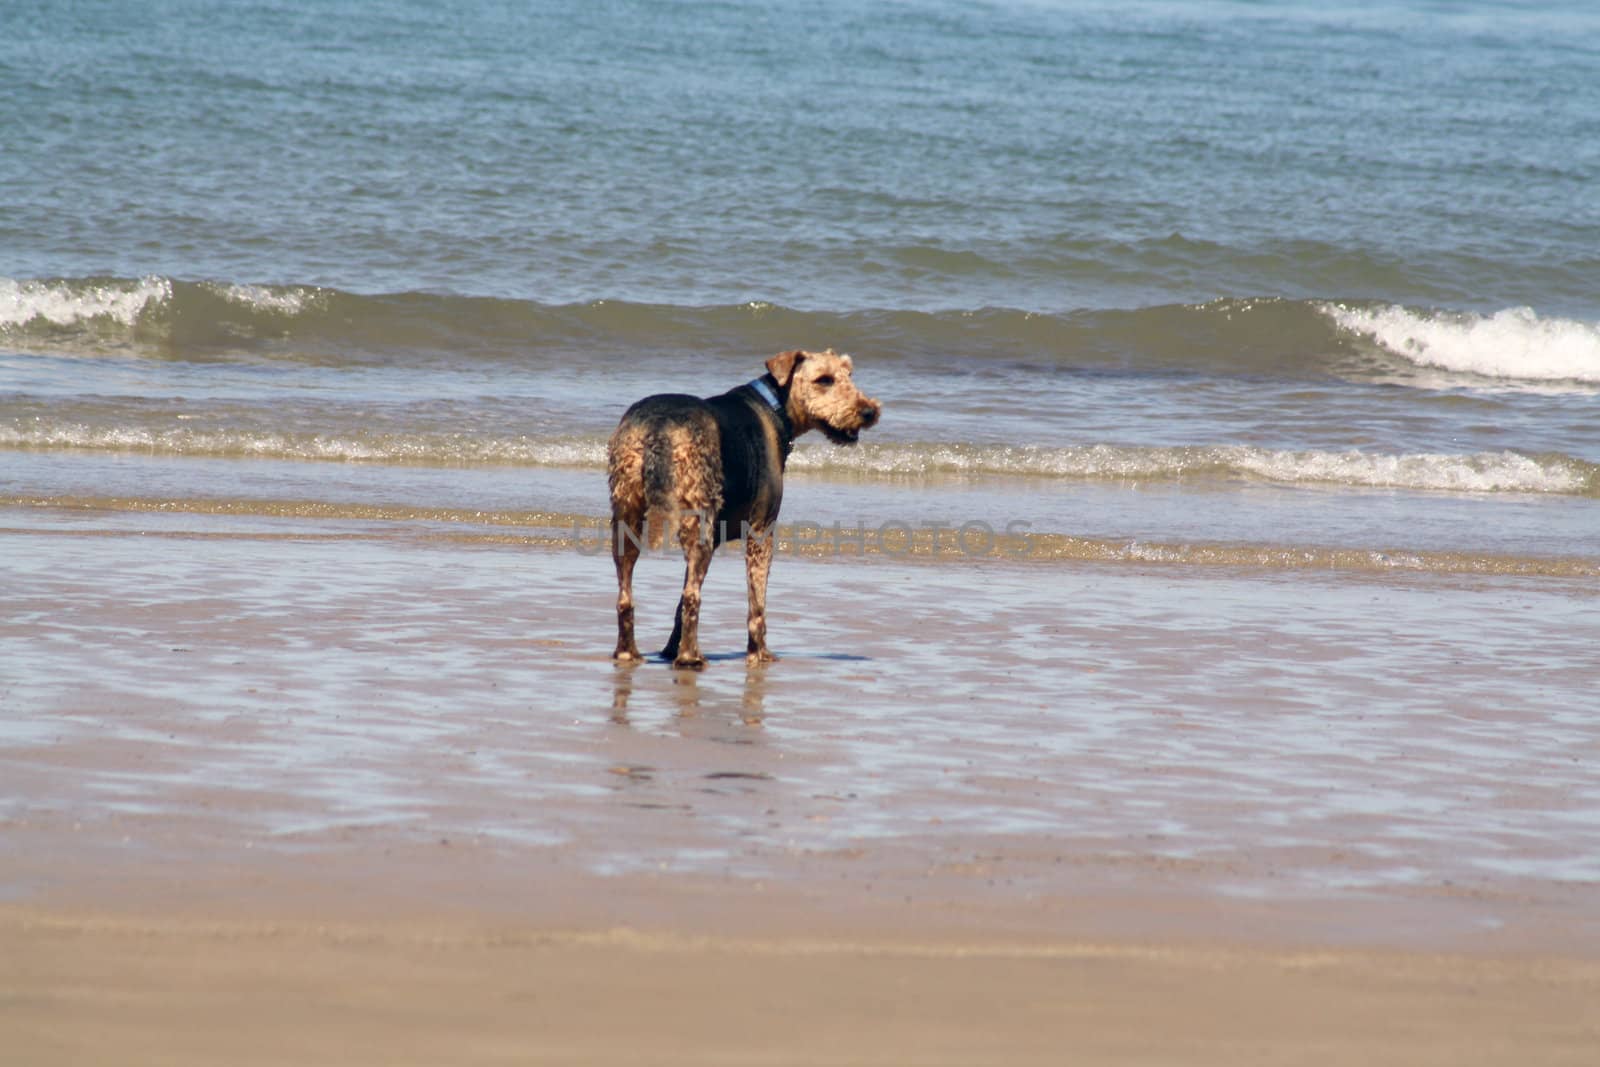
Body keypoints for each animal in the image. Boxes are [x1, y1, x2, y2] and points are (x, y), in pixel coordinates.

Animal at [604, 350, 883, 668]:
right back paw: (690, 657)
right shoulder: (762, 529)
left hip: (626, 517)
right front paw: (759, 654)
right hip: (697, 522)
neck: (774, 406)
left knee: (627, 597)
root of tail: (659, 429)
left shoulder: (716, 538)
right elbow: (756, 604)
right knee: (692, 597)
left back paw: (630, 652)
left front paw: (669, 649)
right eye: (824, 379)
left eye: (849, 374)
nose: (869, 411)